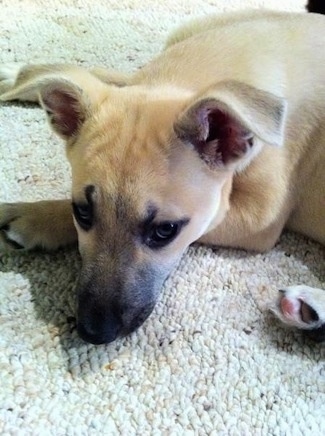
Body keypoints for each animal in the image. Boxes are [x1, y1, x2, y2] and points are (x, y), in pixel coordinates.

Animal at [0, 8, 324, 344]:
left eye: (165, 231)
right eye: (83, 212)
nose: (94, 332)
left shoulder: (259, 217)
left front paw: (33, 217)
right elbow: (112, 75)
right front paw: (22, 73)